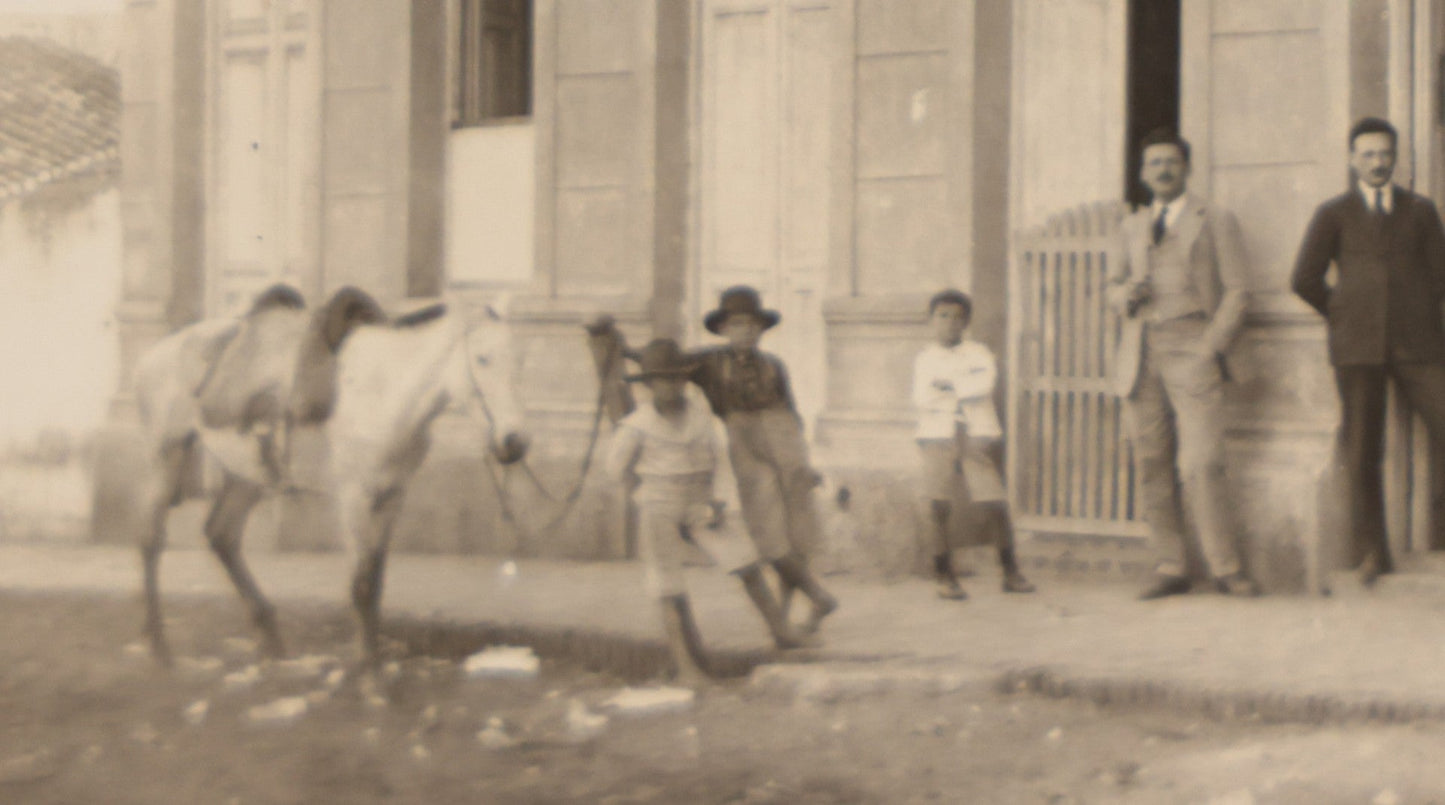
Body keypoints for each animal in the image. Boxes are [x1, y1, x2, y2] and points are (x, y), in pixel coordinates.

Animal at [131, 281, 531, 670]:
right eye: (482, 359)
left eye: (519, 359)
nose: (515, 443)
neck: (382, 394)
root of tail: (154, 354)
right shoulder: (354, 497)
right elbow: (361, 585)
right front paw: (368, 670)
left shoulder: (392, 495)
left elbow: (376, 580)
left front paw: (371, 661)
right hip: (165, 457)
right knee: (151, 541)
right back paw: (158, 646)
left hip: (246, 473)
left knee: (221, 536)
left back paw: (270, 640)